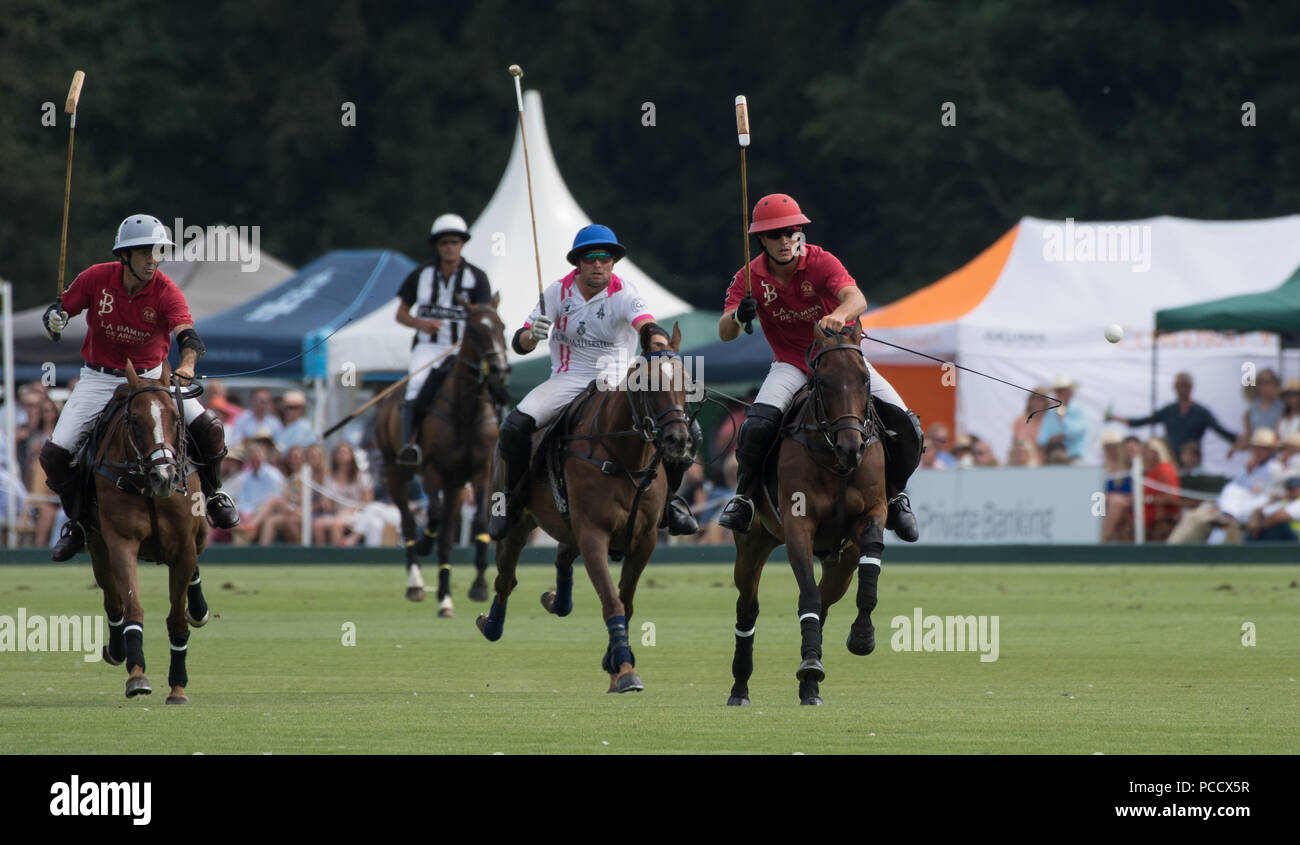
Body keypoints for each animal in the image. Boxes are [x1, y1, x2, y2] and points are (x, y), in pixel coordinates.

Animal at [87, 358, 209, 702]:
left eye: (175, 418)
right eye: (135, 420)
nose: (164, 477)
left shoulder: (183, 546)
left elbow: (177, 619)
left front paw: (178, 686)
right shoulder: (121, 543)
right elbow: (132, 607)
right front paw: (137, 675)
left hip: (200, 534)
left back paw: (199, 610)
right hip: (97, 546)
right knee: (112, 599)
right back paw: (117, 650)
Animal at [374, 292, 509, 616]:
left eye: (502, 326)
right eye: (474, 330)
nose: (499, 371)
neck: (466, 412)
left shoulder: (480, 472)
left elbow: (480, 522)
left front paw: (479, 585)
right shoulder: (433, 470)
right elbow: (431, 516)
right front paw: (425, 544)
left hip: (455, 485)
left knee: (447, 537)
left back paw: (445, 597)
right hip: (395, 469)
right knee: (408, 521)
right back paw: (416, 583)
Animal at [478, 322, 696, 691]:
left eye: (688, 382)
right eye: (647, 384)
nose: (678, 441)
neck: (626, 458)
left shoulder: (645, 539)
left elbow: (626, 601)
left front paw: (614, 662)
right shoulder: (594, 533)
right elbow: (611, 601)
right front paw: (624, 669)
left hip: (569, 525)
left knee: (562, 556)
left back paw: (556, 600)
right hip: (519, 524)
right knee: (506, 579)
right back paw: (491, 625)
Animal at [728, 322, 889, 702]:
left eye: (864, 378)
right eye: (824, 381)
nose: (851, 448)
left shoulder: (873, 512)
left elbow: (870, 564)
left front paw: (862, 635)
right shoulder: (798, 525)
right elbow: (807, 595)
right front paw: (811, 664)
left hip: (842, 561)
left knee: (827, 601)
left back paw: (810, 688)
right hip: (752, 543)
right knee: (748, 607)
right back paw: (740, 687)